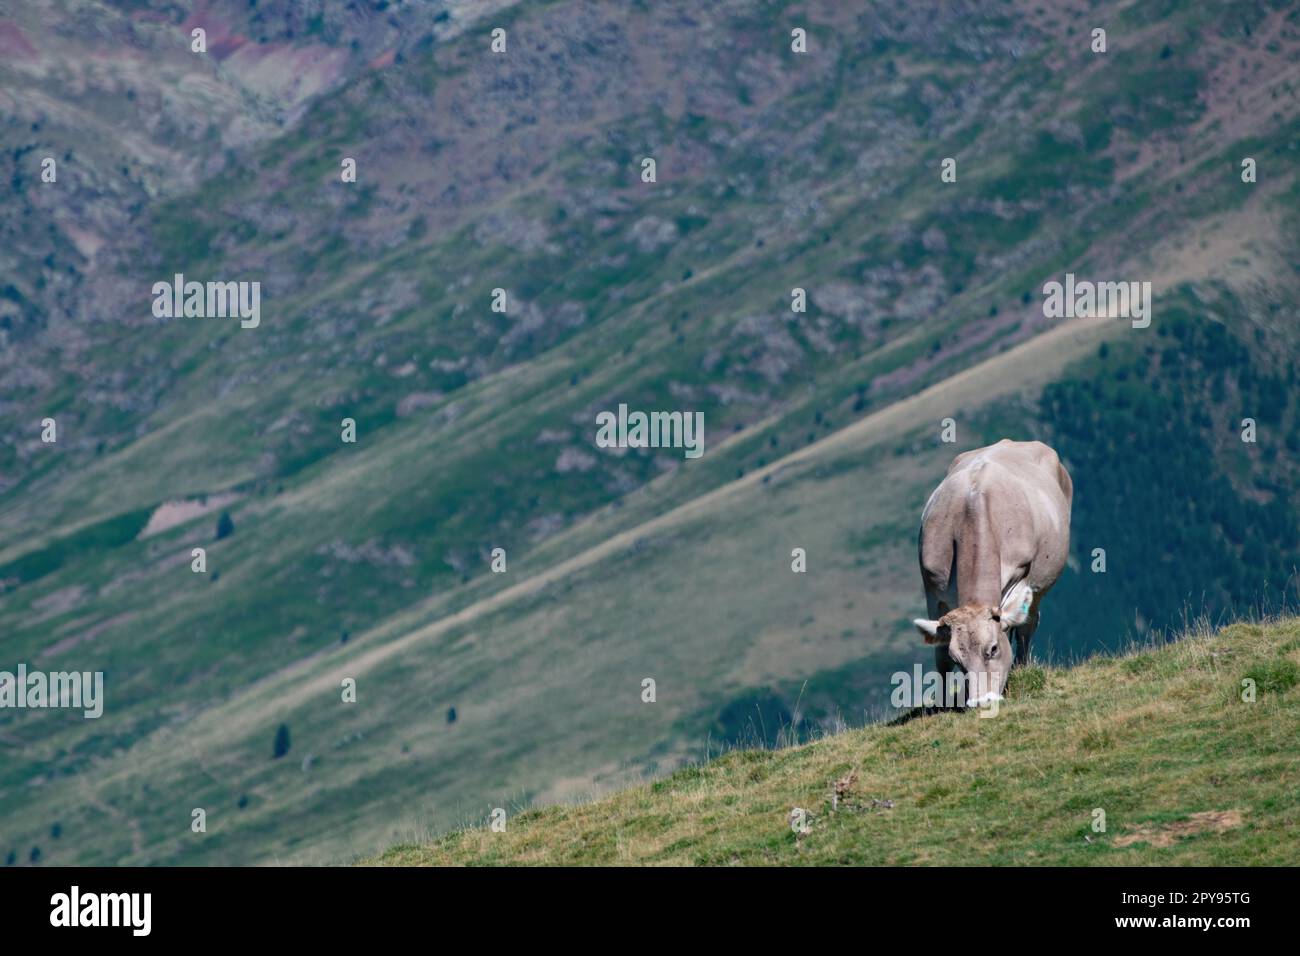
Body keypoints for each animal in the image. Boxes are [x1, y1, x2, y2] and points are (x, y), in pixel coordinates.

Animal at [909, 439, 1071, 702]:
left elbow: (1020, 623)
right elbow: (940, 653)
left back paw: (1022, 665)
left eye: (993, 648)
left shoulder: (1021, 577)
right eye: (958, 659)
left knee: (1029, 623)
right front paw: (942, 701)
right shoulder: (932, 589)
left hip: (1038, 587)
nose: (982, 701)